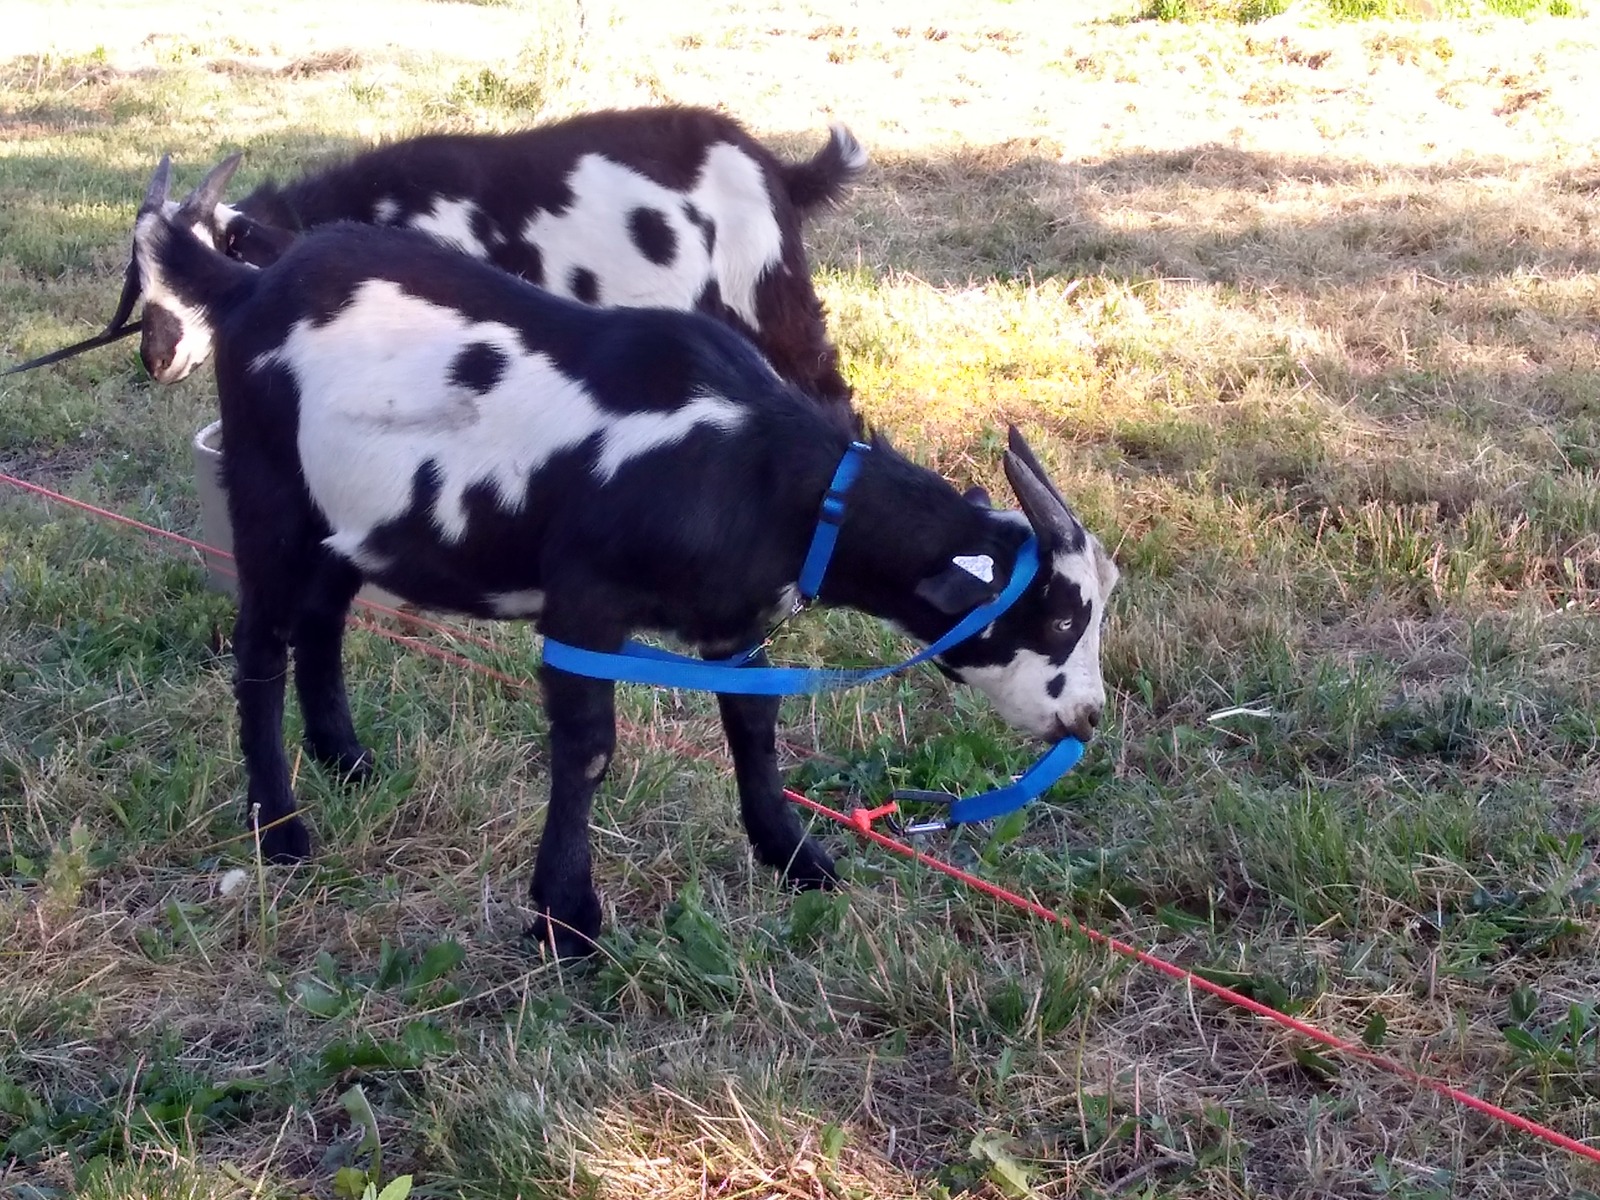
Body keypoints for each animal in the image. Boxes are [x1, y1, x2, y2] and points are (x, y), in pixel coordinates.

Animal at [133, 105, 867, 432]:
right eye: (140, 279)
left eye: (211, 256)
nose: (156, 358)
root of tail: (777, 167)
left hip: (767, 288)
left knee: (826, 385)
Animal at [134, 155, 1119, 957]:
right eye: (1058, 618)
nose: (1087, 720)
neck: (760, 470)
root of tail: (246, 285)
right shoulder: (586, 604)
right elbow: (589, 750)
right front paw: (566, 920)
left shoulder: (732, 618)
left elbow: (753, 727)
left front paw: (796, 858)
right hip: (268, 491)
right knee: (260, 645)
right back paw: (281, 830)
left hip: (357, 512)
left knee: (323, 619)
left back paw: (349, 762)